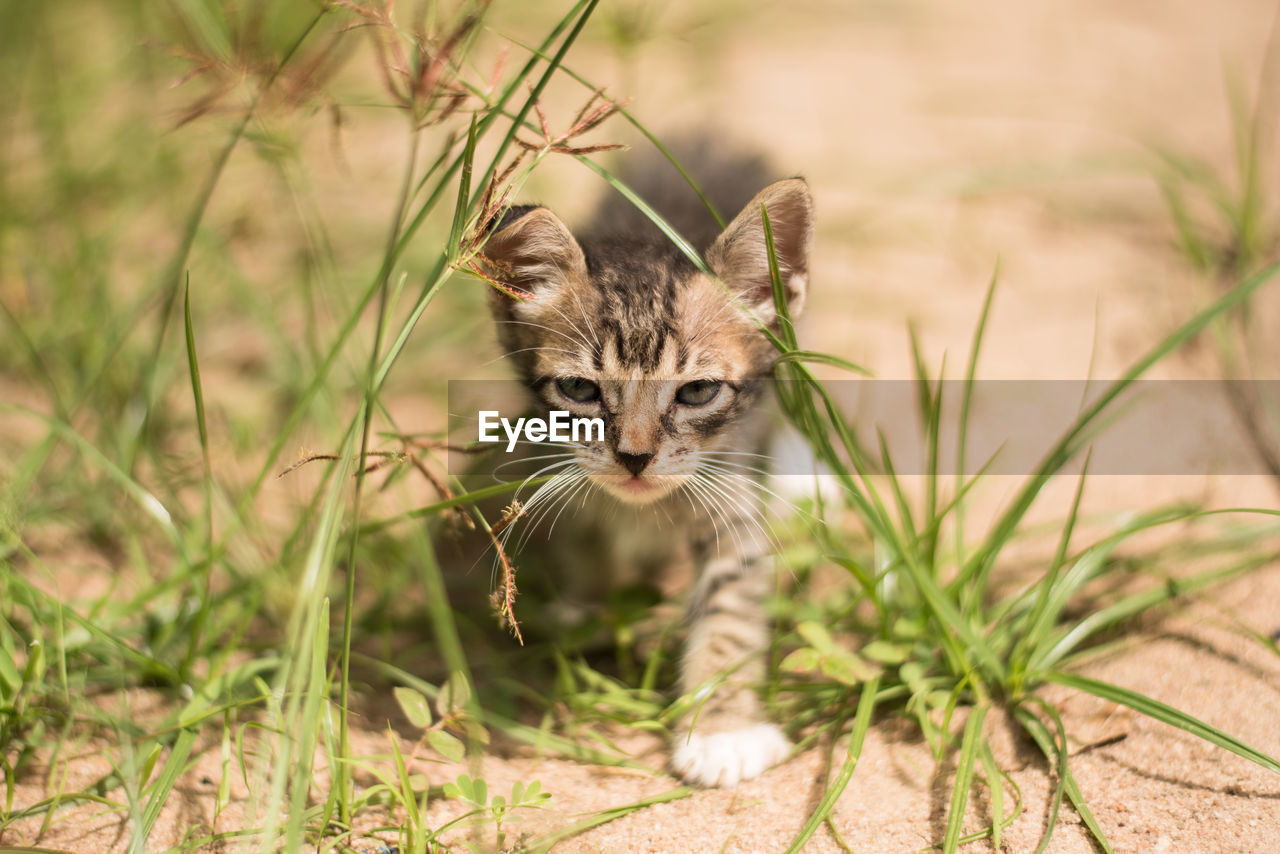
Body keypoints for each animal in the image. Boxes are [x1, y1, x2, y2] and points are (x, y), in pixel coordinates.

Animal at [476, 175, 814, 788]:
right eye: (579, 391)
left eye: (698, 392)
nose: (634, 458)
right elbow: (583, 540)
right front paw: (589, 606)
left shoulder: (729, 503)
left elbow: (730, 613)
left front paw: (723, 730)